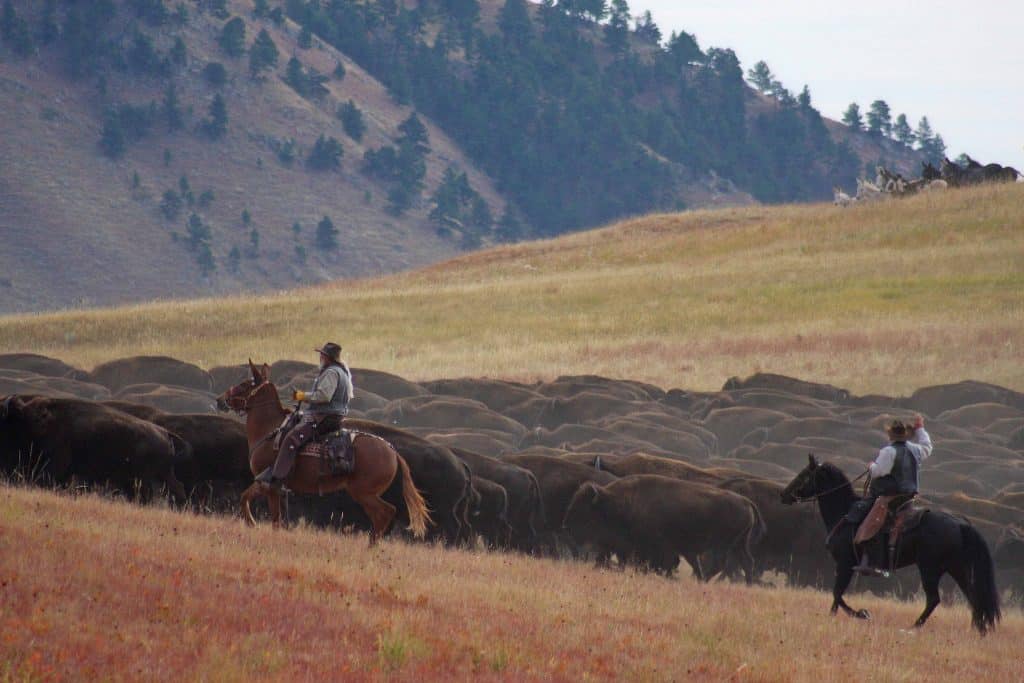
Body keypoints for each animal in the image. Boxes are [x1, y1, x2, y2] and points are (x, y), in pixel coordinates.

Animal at [0, 395, 190, 501]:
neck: (28, 419)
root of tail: (164, 433)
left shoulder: (55, 464)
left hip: (148, 477)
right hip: (160, 475)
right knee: (177, 488)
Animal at [216, 358, 428, 544]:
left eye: (244, 384)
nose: (220, 399)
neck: (270, 429)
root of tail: (392, 452)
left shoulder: (268, 484)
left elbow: (253, 504)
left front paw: (253, 524)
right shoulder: (270, 486)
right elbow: (260, 508)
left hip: (363, 492)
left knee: (385, 513)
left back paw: (372, 544)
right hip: (366, 493)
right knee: (383, 515)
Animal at [565, 475, 765, 581]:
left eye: (584, 509)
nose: (566, 526)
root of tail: (745, 501)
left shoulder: (656, 547)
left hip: (723, 545)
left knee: (721, 564)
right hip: (738, 545)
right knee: (747, 563)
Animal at [778, 454, 995, 634]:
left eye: (803, 475)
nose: (783, 495)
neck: (844, 512)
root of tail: (960, 523)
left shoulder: (845, 563)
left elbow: (837, 593)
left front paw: (861, 614)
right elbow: (836, 595)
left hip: (930, 568)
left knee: (934, 599)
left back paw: (914, 627)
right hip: (956, 567)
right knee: (972, 595)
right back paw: (979, 628)